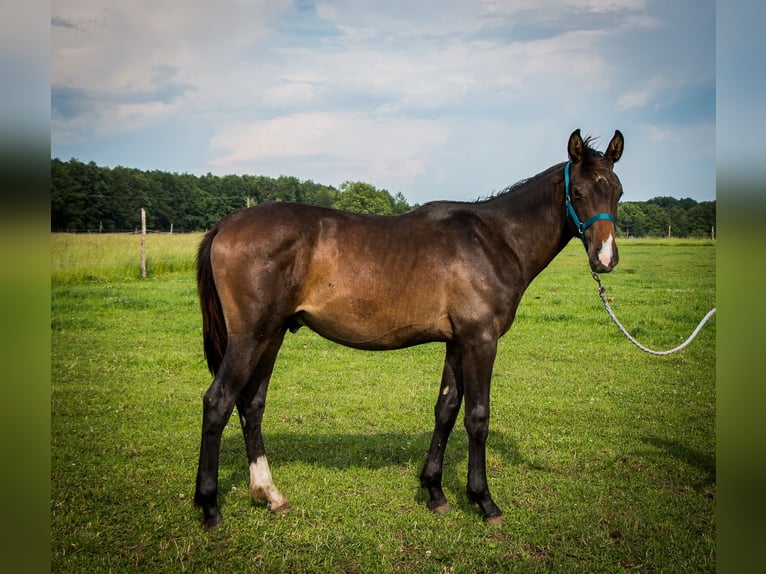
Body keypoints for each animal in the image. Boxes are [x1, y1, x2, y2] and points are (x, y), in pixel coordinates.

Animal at [192, 129, 624, 532]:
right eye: (579, 192)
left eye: (618, 192)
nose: (605, 259)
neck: (495, 239)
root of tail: (225, 226)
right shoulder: (480, 342)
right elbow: (477, 417)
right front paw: (484, 501)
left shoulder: (457, 343)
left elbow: (446, 410)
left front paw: (435, 491)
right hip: (249, 339)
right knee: (218, 402)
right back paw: (209, 506)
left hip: (272, 336)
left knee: (251, 405)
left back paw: (269, 494)